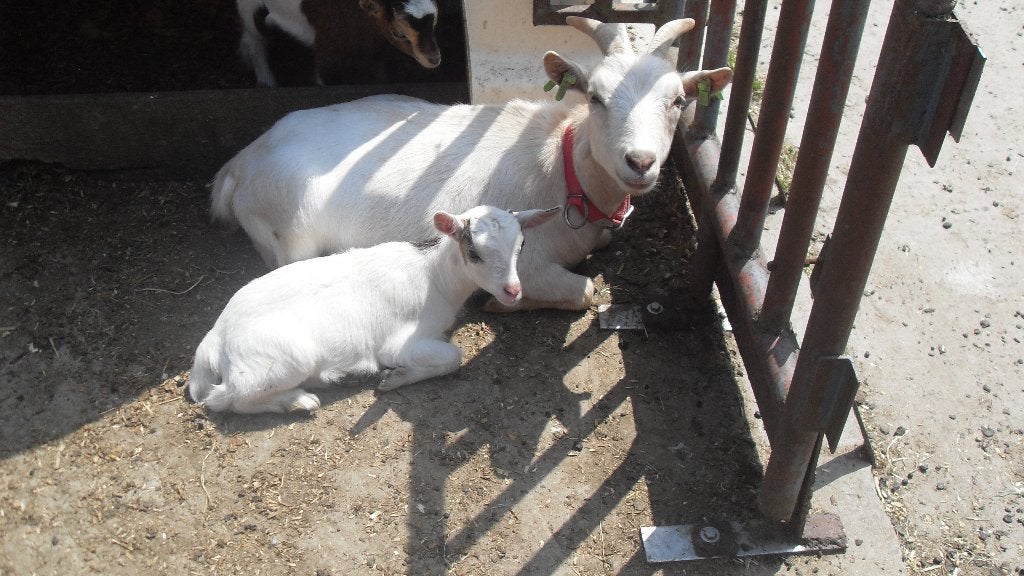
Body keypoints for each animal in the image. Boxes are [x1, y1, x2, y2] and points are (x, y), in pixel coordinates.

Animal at [188, 205, 560, 413]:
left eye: (522, 245)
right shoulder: (401, 342)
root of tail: (215, 336)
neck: (434, 276)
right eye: (475, 253)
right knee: (226, 399)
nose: (513, 291)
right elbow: (452, 357)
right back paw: (298, 401)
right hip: (282, 357)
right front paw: (394, 378)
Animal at [212, 16, 733, 311]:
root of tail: (237, 167)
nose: (639, 161)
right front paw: (502, 307)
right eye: (596, 97)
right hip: (291, 238)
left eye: (678, 100)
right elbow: (584, 292)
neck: (561, 166)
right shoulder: (532, 262)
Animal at [237, 0, 441, 87]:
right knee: (254, 36)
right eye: (398, 33)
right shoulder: (328, 52)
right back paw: (266, 81)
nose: (434, 59)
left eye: (434, 22)